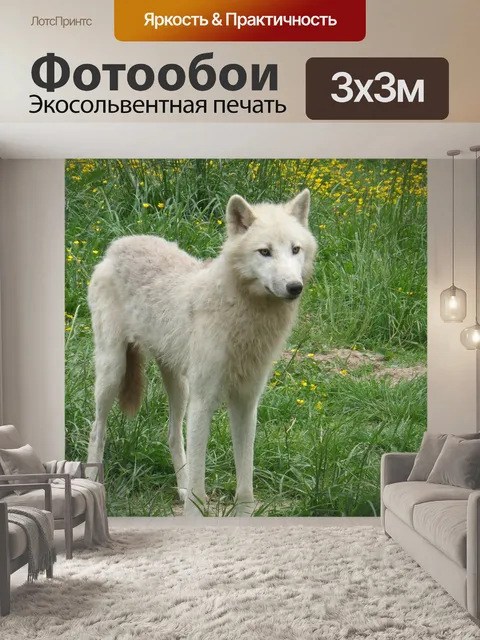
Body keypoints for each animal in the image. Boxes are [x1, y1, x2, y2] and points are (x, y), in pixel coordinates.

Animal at [87, 189, 317, 516]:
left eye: (295, 249)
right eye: (265, 252)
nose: (294, 287)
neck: (244, 319)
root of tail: (117, 244)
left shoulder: (246, 402)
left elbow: (245, 477)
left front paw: (244, 514)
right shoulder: (204, 401)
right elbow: (200, 477)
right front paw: (194, 513)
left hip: (179, 386)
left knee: (172, 435)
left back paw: (180, 489)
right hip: (113, 373)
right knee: (98, 430)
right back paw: (94, 488)